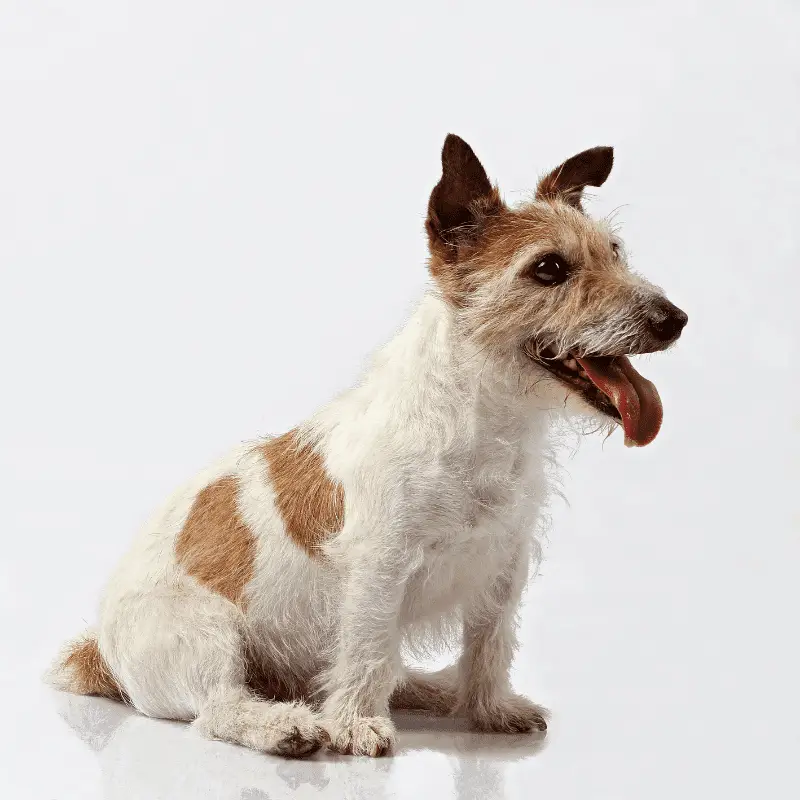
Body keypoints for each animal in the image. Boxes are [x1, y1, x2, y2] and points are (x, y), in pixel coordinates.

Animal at [48, 136, 688, 756]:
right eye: (549, 268)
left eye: (616, 252)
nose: (675, 319)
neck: (482, 418)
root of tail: (98, 650)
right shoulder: (380, 566)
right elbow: (367, 646)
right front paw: (356, 724)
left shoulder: (503, 564)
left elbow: (489, 644)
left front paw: (489, 709)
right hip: (206, 635)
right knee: (220, 708)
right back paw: (284, 726)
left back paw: (432, 691)